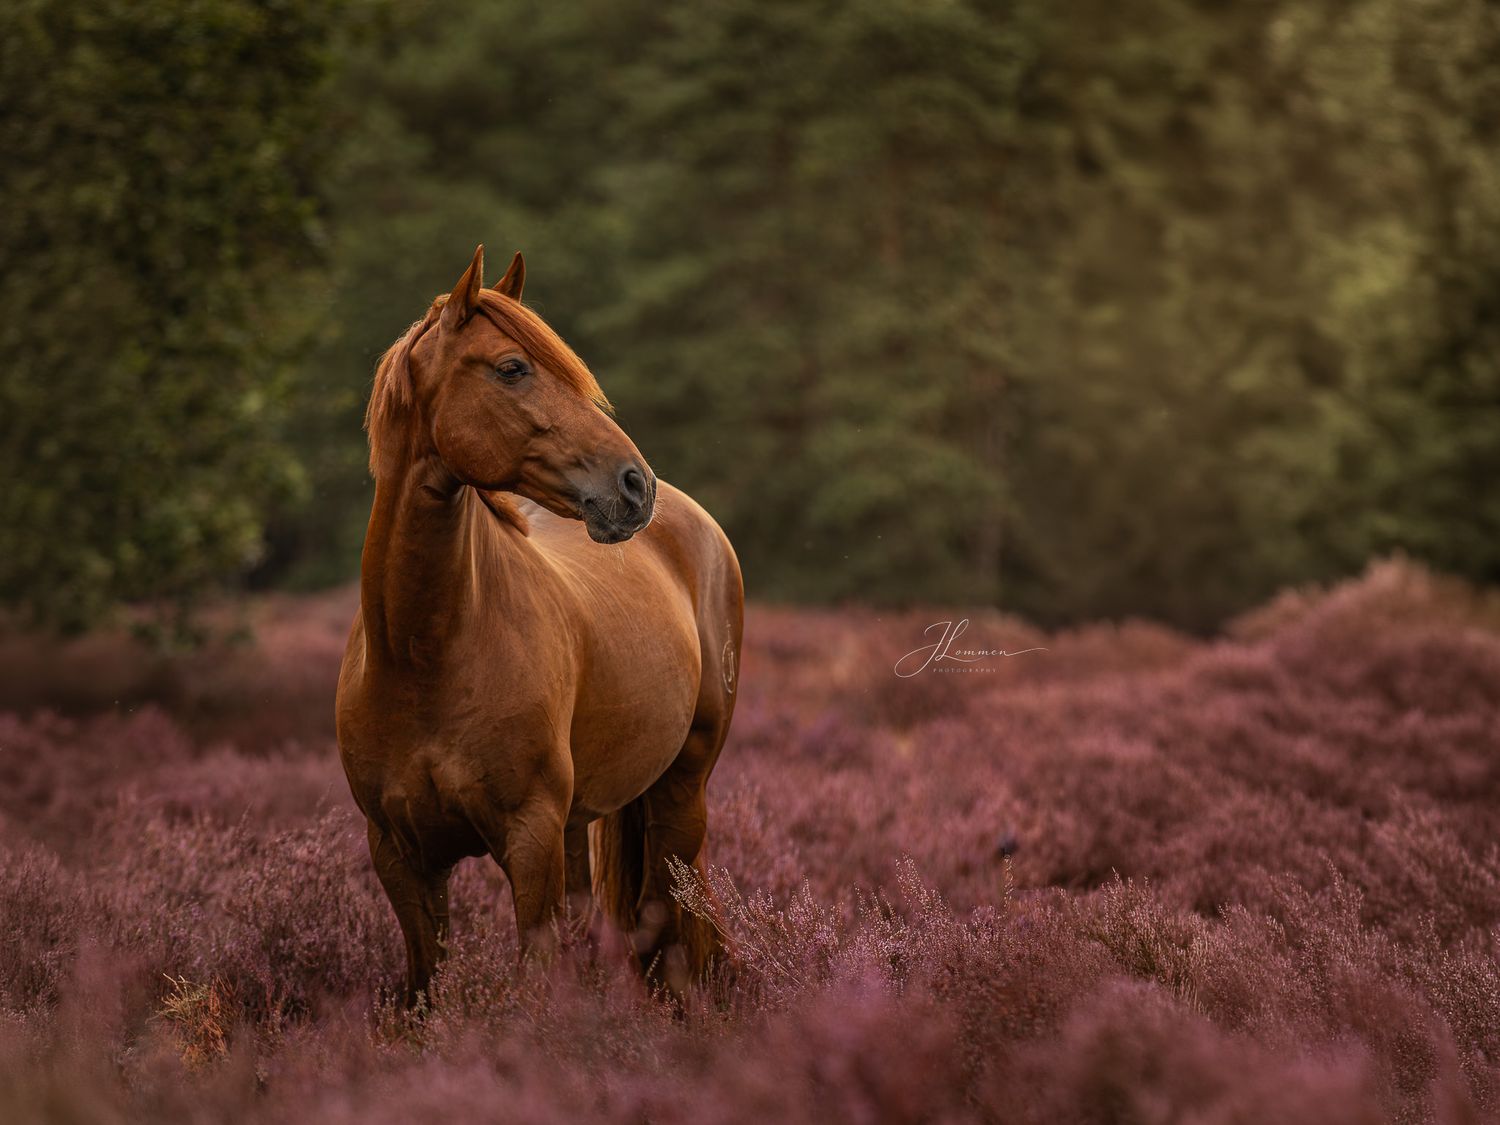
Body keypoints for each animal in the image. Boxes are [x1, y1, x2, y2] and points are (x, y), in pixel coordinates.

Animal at [335, 245, 743, 1005]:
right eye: (511, 368)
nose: (634, 485)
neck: (421, 655)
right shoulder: (400, 856)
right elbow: (426, 982)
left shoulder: (529, 840)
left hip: (680, 795)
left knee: (666, 923)